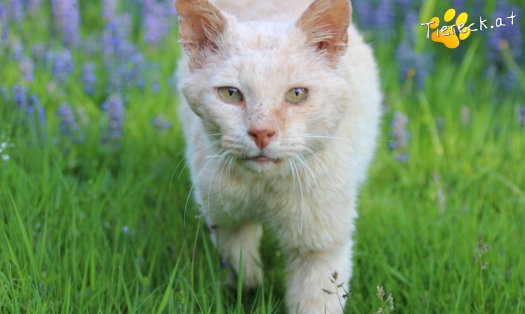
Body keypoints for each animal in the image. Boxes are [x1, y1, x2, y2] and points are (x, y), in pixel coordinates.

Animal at [176, 0, 380, 312]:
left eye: (296, 94)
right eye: (231, 93)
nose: (262, 133)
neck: (265, 187)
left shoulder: (320, 248)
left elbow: (313, 302)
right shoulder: (226, 220)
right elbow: (242, 268)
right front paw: (249, 291)